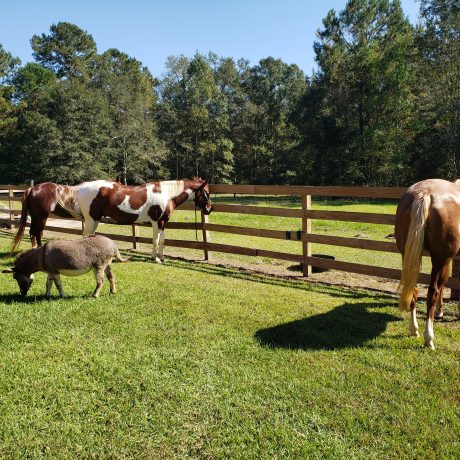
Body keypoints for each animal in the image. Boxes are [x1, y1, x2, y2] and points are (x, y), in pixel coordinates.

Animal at [11, 178, 212, 262]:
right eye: (206, 193)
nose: (209, 209)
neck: (165, 194)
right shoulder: (156, 222)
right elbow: (155, 240)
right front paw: (155, 259)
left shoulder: (163, 223)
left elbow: (162, 241)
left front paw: (161, 258)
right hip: (82, 219)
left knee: (35, 233)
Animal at [394, 179, 458, 348]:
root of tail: (425, 192)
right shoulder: (447, 259)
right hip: (439, 259)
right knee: (432, 291)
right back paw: (429, 338)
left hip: (407, 255)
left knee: (414, 290)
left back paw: (414, 329)